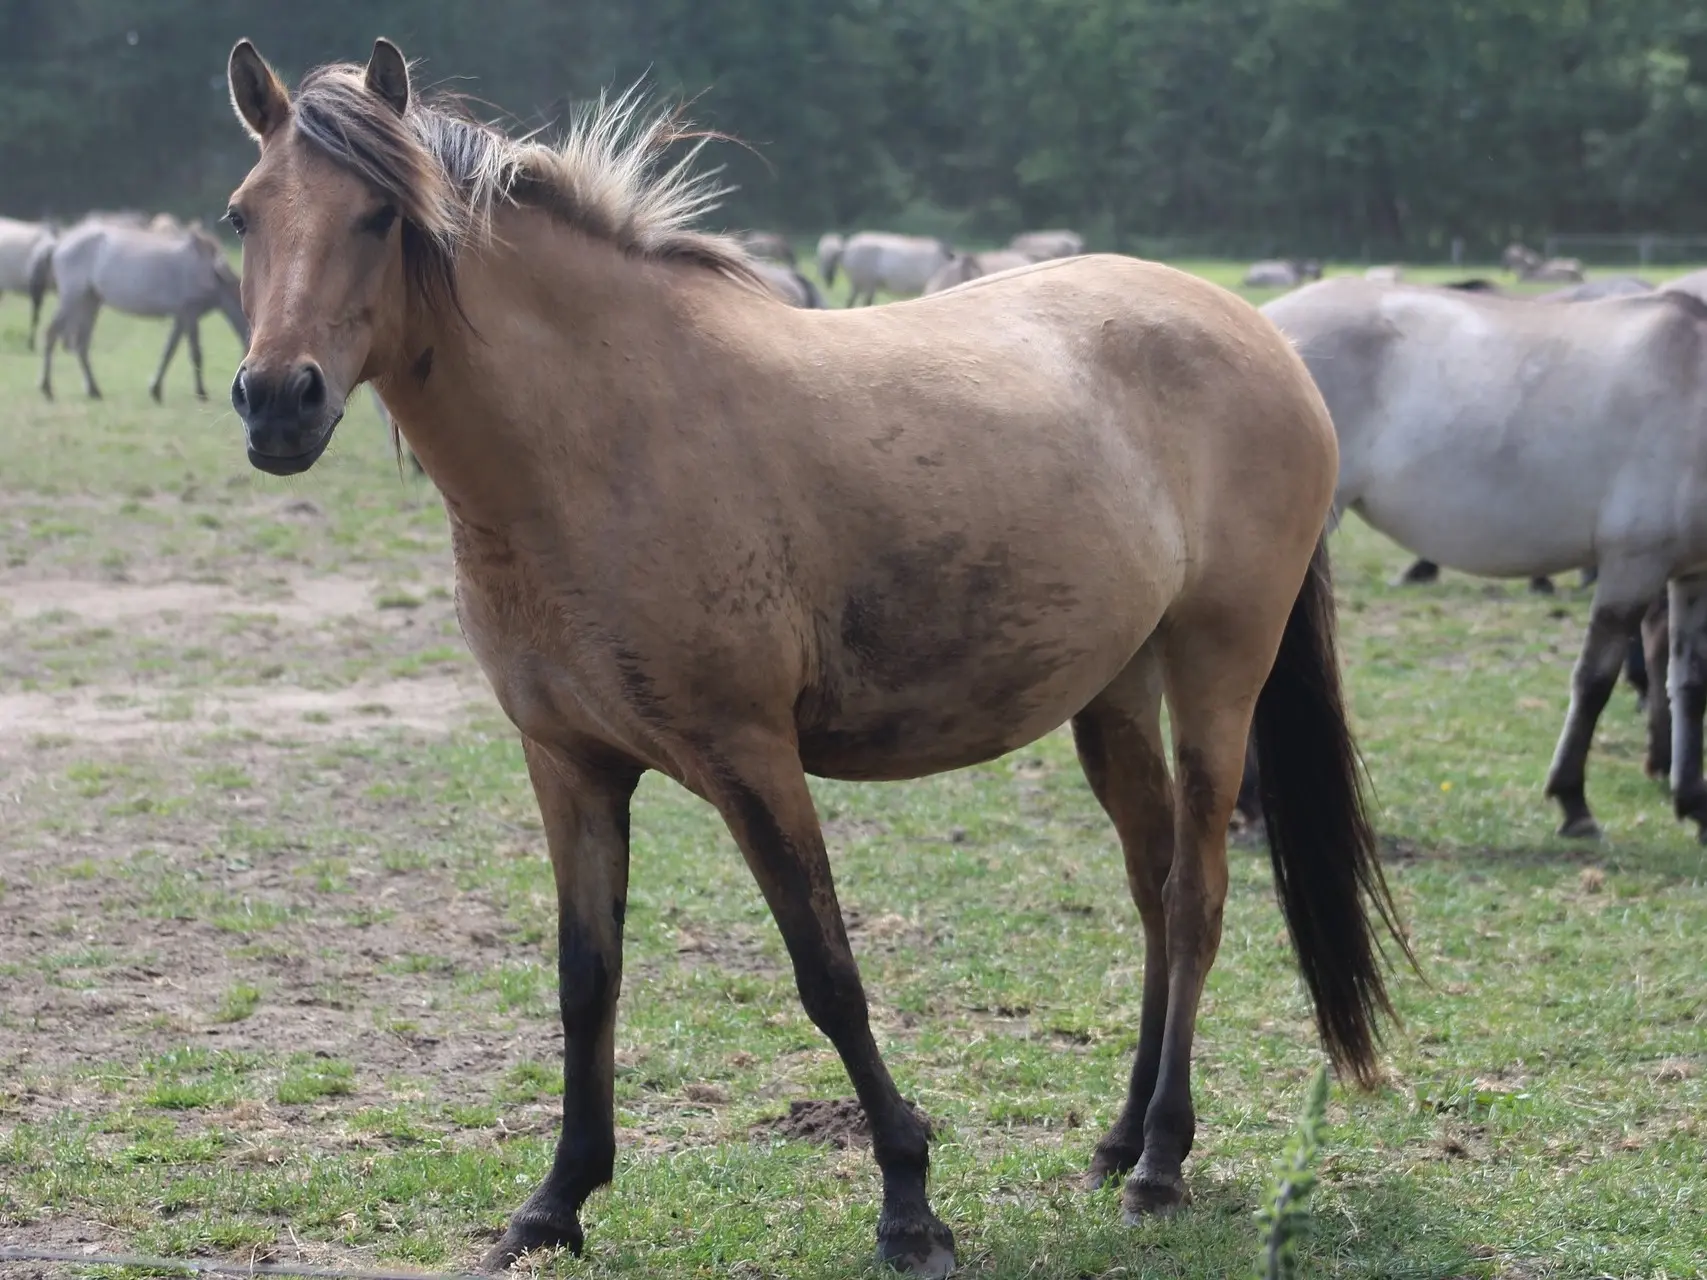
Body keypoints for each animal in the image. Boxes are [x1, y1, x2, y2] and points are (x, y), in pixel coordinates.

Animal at [41, 218, 249, 401]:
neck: (210, 271)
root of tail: (60, 243)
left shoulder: (180, 317)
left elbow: (168, 351)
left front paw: (155, 389)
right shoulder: (190, 315)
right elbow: (195, 354)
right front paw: (201, 393)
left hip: (89, 303)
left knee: (81, 345)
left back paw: (93, 390)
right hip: (72, 300)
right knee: (51, 334)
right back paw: (47, 388)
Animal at [220, 34, 1406, 1276]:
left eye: (378, 216)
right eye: (242, 214)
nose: (277, 400)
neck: (602, 438)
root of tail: (1263, 335)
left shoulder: (750, 756)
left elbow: (828, 972)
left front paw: (910, 1199)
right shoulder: (570, 763)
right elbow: (586, 979)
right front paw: (554, 1201)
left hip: (1217, 671)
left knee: (1197, 898)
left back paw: (1163, 1159)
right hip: (1114, 691)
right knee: (1152, 889)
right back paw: (1121, 1135)